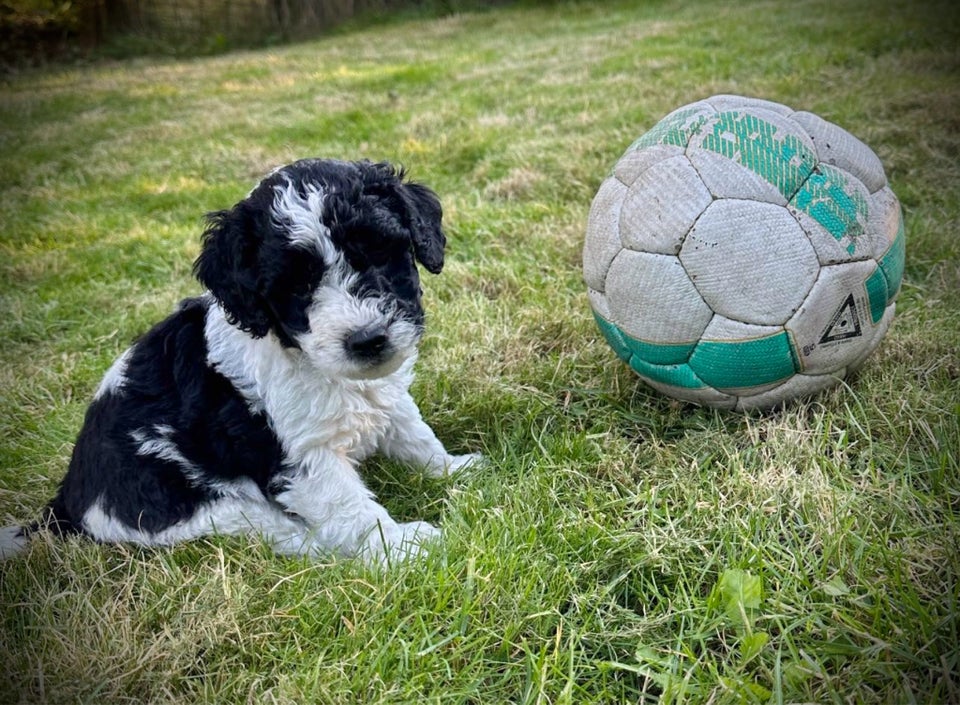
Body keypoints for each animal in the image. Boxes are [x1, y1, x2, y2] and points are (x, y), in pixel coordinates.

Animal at [0, 158, 480, 560]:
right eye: (296, 286)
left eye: (380, 252)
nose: (367, 340)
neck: (297, 351)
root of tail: (66, 508)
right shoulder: (300, 453)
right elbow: (347, 505)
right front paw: (400, 548)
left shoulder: (384, 395)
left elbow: (413, 433)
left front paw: (453, 470)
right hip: (205, 508)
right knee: (282, 535)